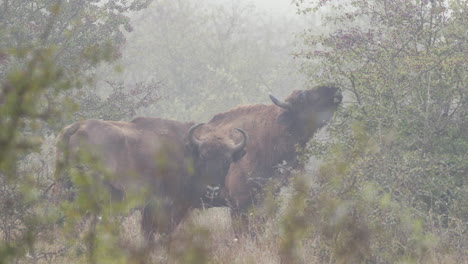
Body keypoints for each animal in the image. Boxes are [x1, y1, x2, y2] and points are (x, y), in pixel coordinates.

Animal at [54, 116, 249, 242]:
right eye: (203, 156)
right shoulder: (166, 208)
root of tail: (75, 129)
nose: (212, 189)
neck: (186, 152)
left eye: (227, 161)